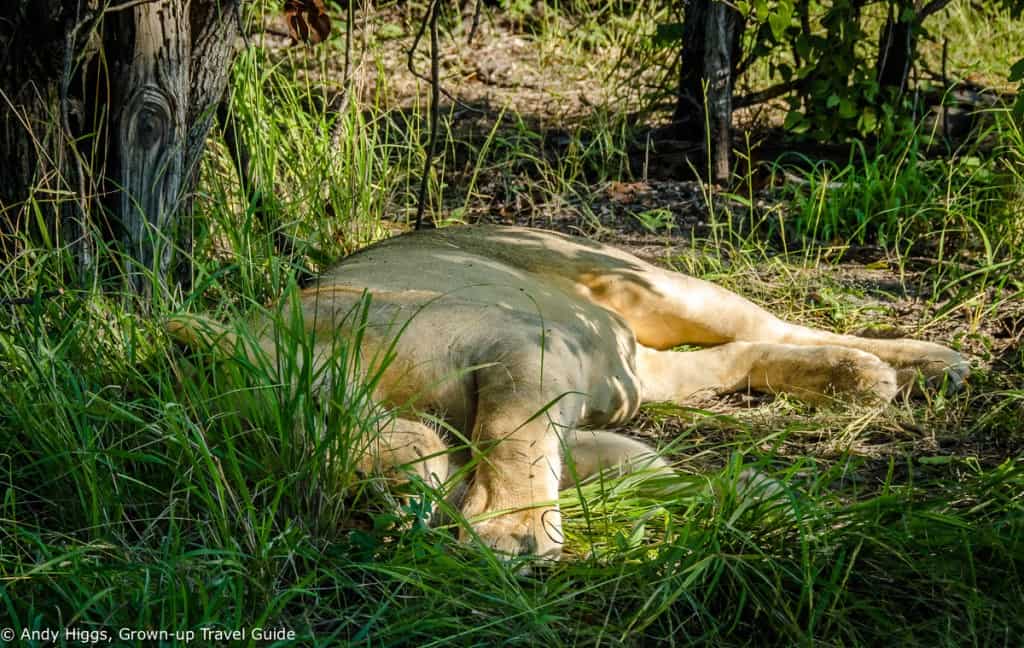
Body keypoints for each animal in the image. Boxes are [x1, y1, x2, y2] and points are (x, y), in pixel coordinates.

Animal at [169, 225, 969, 559]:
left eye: (316, 426)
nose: (387, 514)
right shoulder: (574, 414)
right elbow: (643, 470)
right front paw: (762, 500)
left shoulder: (518, 343)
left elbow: (507, 434)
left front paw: (512, 532)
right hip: (632, 369)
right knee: (734, 356)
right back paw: (861, 381)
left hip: (639, 283)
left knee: (773, 321)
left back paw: (925, 364)